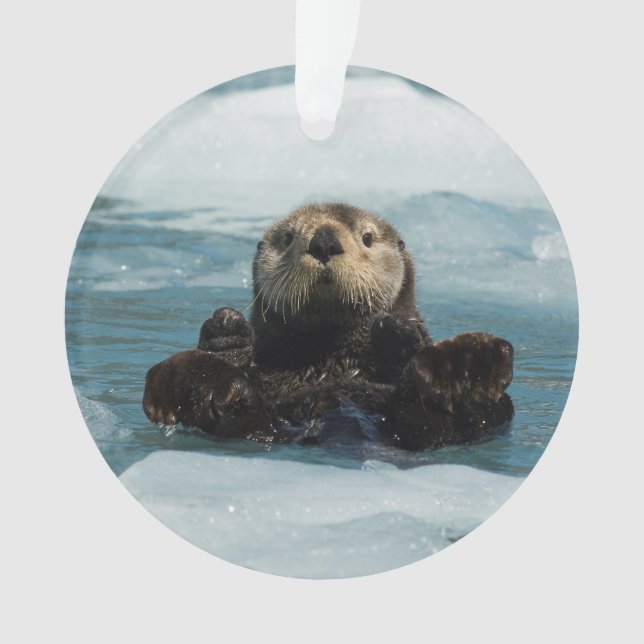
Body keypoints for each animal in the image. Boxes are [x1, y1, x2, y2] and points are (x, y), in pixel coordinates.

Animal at [143, 203, 514, 451]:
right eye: (288, 237)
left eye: (367, 237)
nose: (323, 241)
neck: (332, 360)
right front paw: (227, 333)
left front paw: (395, 331)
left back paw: (461, 367)